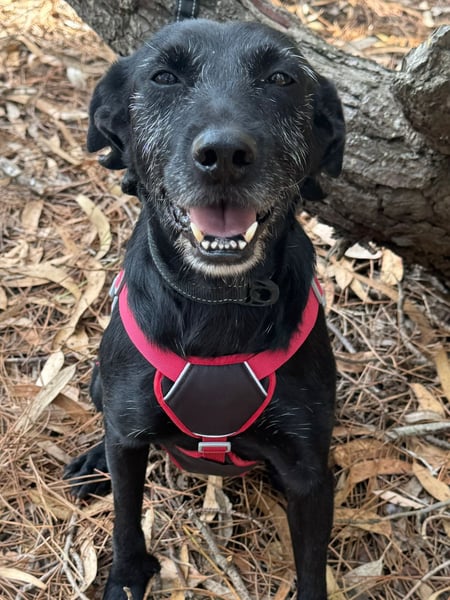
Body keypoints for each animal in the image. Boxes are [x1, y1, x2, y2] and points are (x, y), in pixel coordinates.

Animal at [65, 18, 345, 600]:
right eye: (163, 77)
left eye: (282, 78)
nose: (224, 156)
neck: (218, 302)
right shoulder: (130, 436)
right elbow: (126, 521)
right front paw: (126, 578)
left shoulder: (309, 473)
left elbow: (312, 567)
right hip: (102, 385)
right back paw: (92, 459)